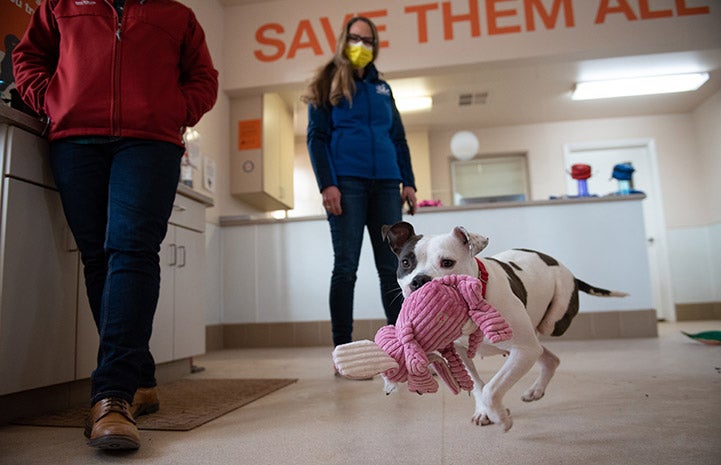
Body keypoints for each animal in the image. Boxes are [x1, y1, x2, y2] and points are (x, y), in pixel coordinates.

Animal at [382, 221, 624, 432]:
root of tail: (569, 272)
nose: (419, 280)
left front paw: (500, 417)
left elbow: (491, 388)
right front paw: (484, 412)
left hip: (550, 324)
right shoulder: (461, 354)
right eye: (405, 263)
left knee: (545, 339)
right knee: (549, 358)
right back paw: (536, 390)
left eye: (447, 263)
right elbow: (478, 385)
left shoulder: (525, 350)